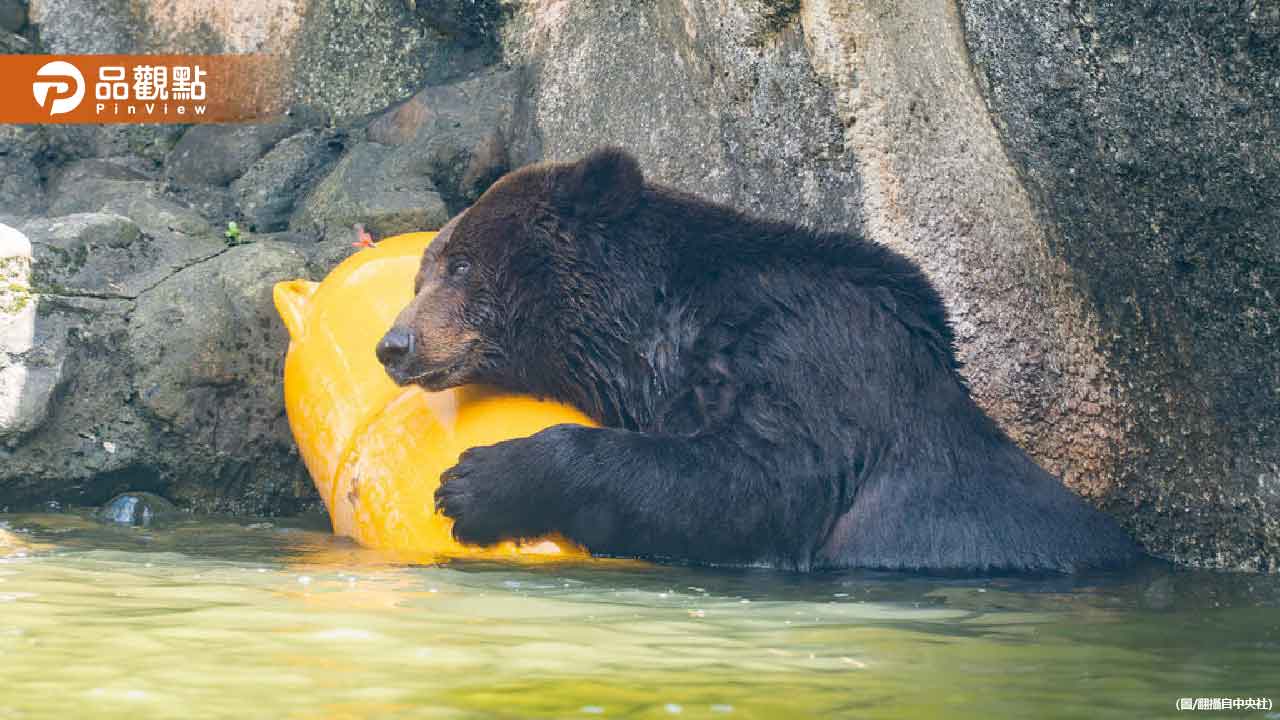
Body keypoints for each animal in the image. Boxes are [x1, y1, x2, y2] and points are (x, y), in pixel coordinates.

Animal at [375, 147, 1139, 573]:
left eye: (462, 265)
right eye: (421, 275)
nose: (394, 345)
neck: (657, 333)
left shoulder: (805, 356)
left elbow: (758, 482)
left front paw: (476, 483)